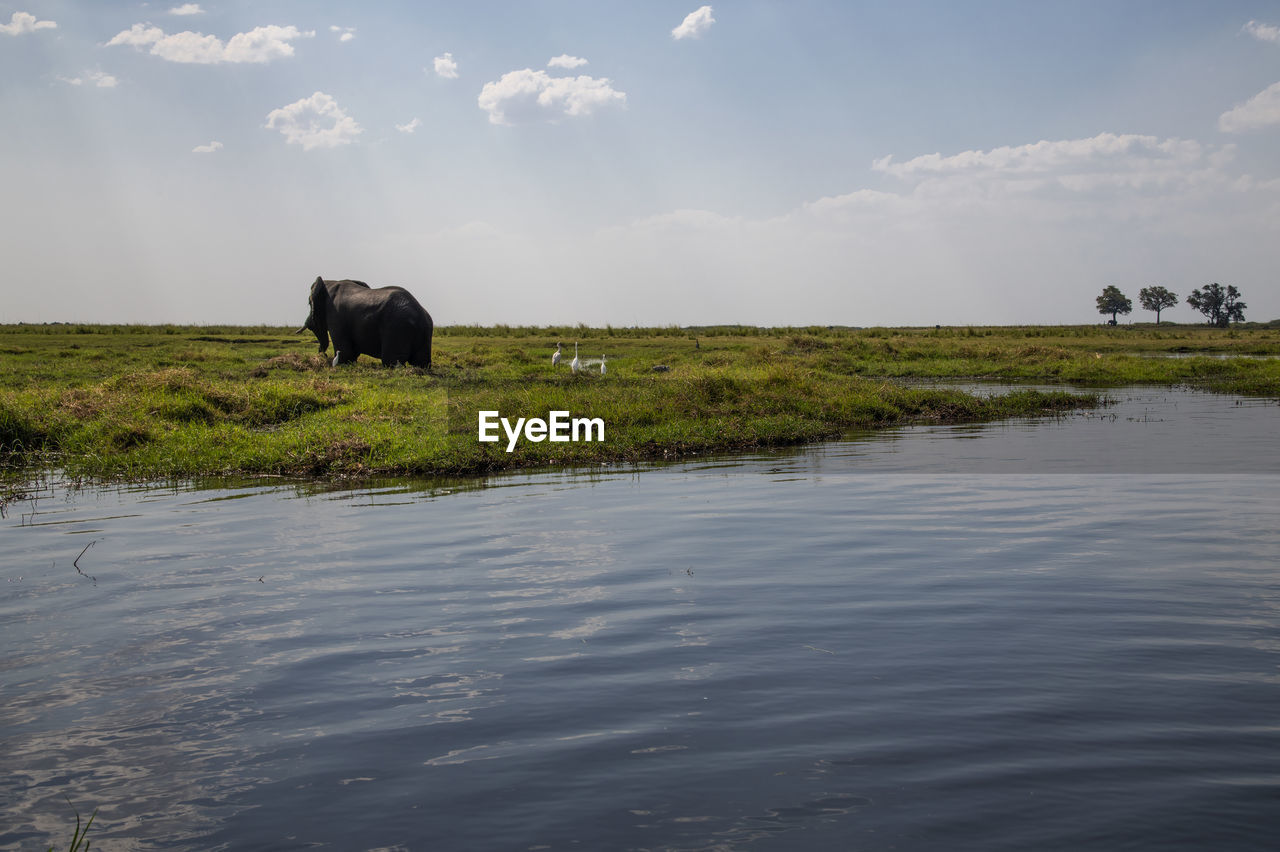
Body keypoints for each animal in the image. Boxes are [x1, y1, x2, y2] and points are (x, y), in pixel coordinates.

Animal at [298, 273, 435, 363]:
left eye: (309, 303)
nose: (324, 356)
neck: (330, 282)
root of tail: (421, 314)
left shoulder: (335, 314)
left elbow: (345, 350)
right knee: (421, 362)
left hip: (397, 328)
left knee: (391, 362)